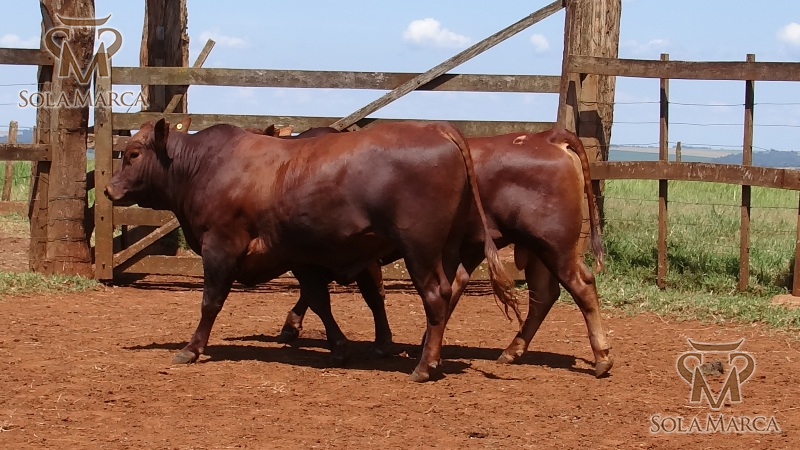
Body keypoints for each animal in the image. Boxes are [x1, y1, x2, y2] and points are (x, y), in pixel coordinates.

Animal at [104, 118, 519, 382]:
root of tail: (438, 128)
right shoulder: (298, 255)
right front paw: (339, 348)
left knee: (435, 296)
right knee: (446, 294)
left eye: (134, 153)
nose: (108, 190)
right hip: (447, 248)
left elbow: (211, 301)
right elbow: (319, 300)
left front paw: (191, 348)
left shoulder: (220, 245)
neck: (206, 166)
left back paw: (424, 366)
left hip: (420, 248)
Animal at [267, 126, 614, 377]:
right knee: (543, 294)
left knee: (581, 285)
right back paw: (511, 350)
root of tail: (547, 136)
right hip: (535, 248)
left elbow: (331, 294)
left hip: (553, 243)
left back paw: (601, 357)